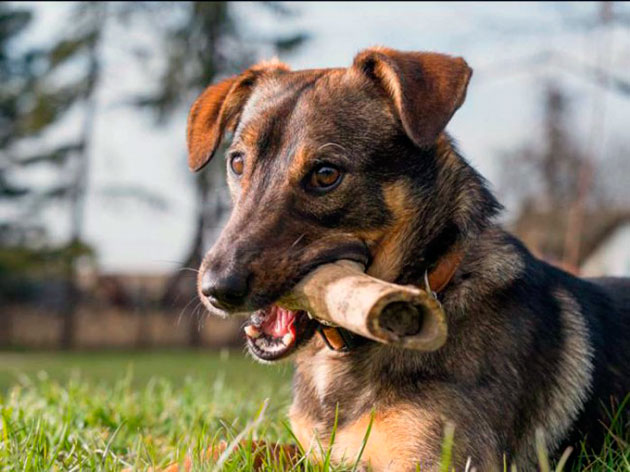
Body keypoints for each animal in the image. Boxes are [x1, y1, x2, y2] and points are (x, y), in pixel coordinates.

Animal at [188, 48, 630, 472]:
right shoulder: (313, 453)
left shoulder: (442, 461)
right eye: (237, 163)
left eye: (326, 174)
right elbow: (229, 447)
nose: (216, 290)